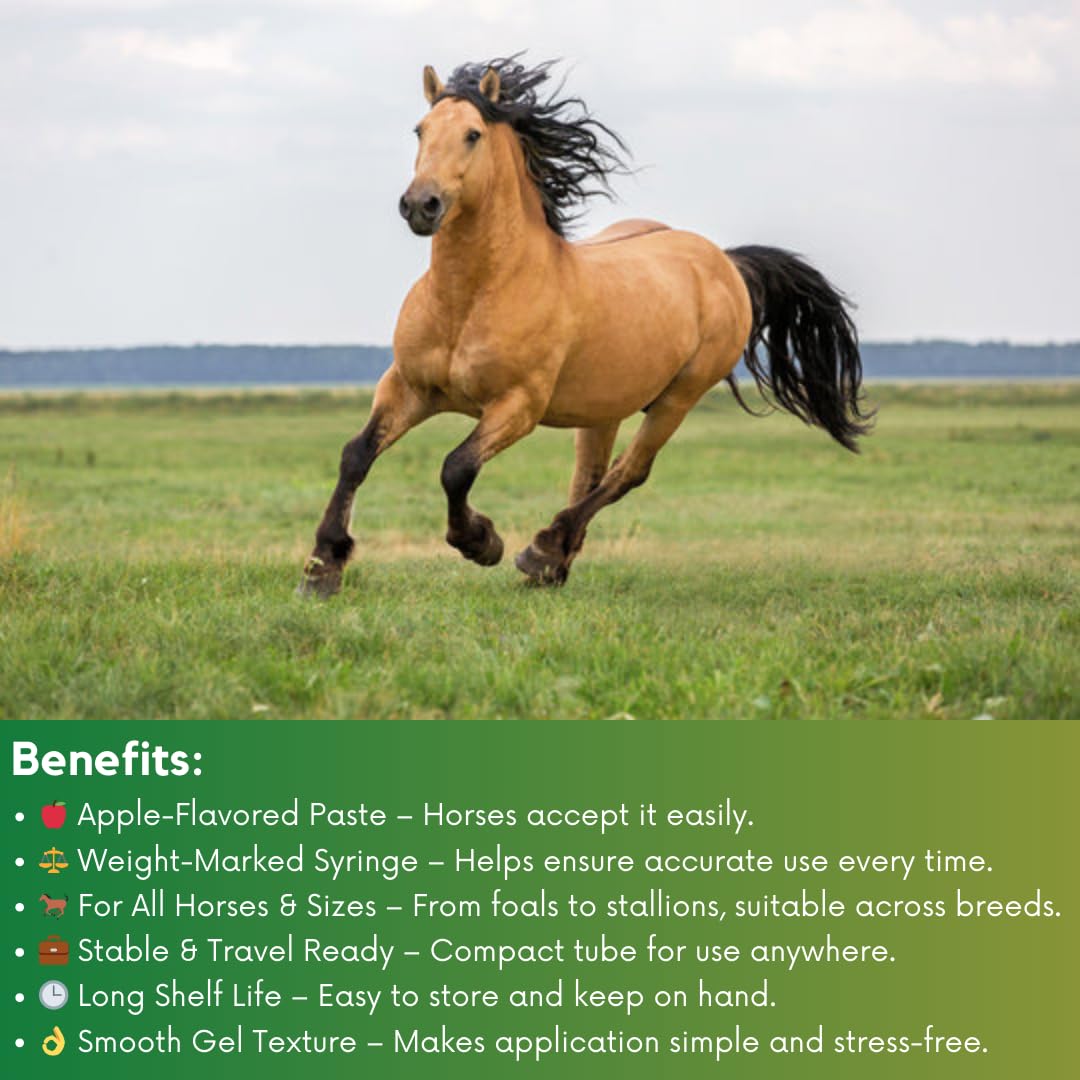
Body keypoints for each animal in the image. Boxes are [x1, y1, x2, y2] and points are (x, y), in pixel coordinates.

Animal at [300, 57, 872, 596]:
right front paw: (323, 566)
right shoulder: (408, 387)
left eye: (473, 134)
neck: (473, 296)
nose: (421, 205)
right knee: (590, 476)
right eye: (420, 130)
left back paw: (541, 551)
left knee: (627, 473)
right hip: (604, 408)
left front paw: (481, 542)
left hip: (678, 397)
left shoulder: (518, 406)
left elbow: (455, 467)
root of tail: (724, 261)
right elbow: (356, 455)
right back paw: (552, 565)